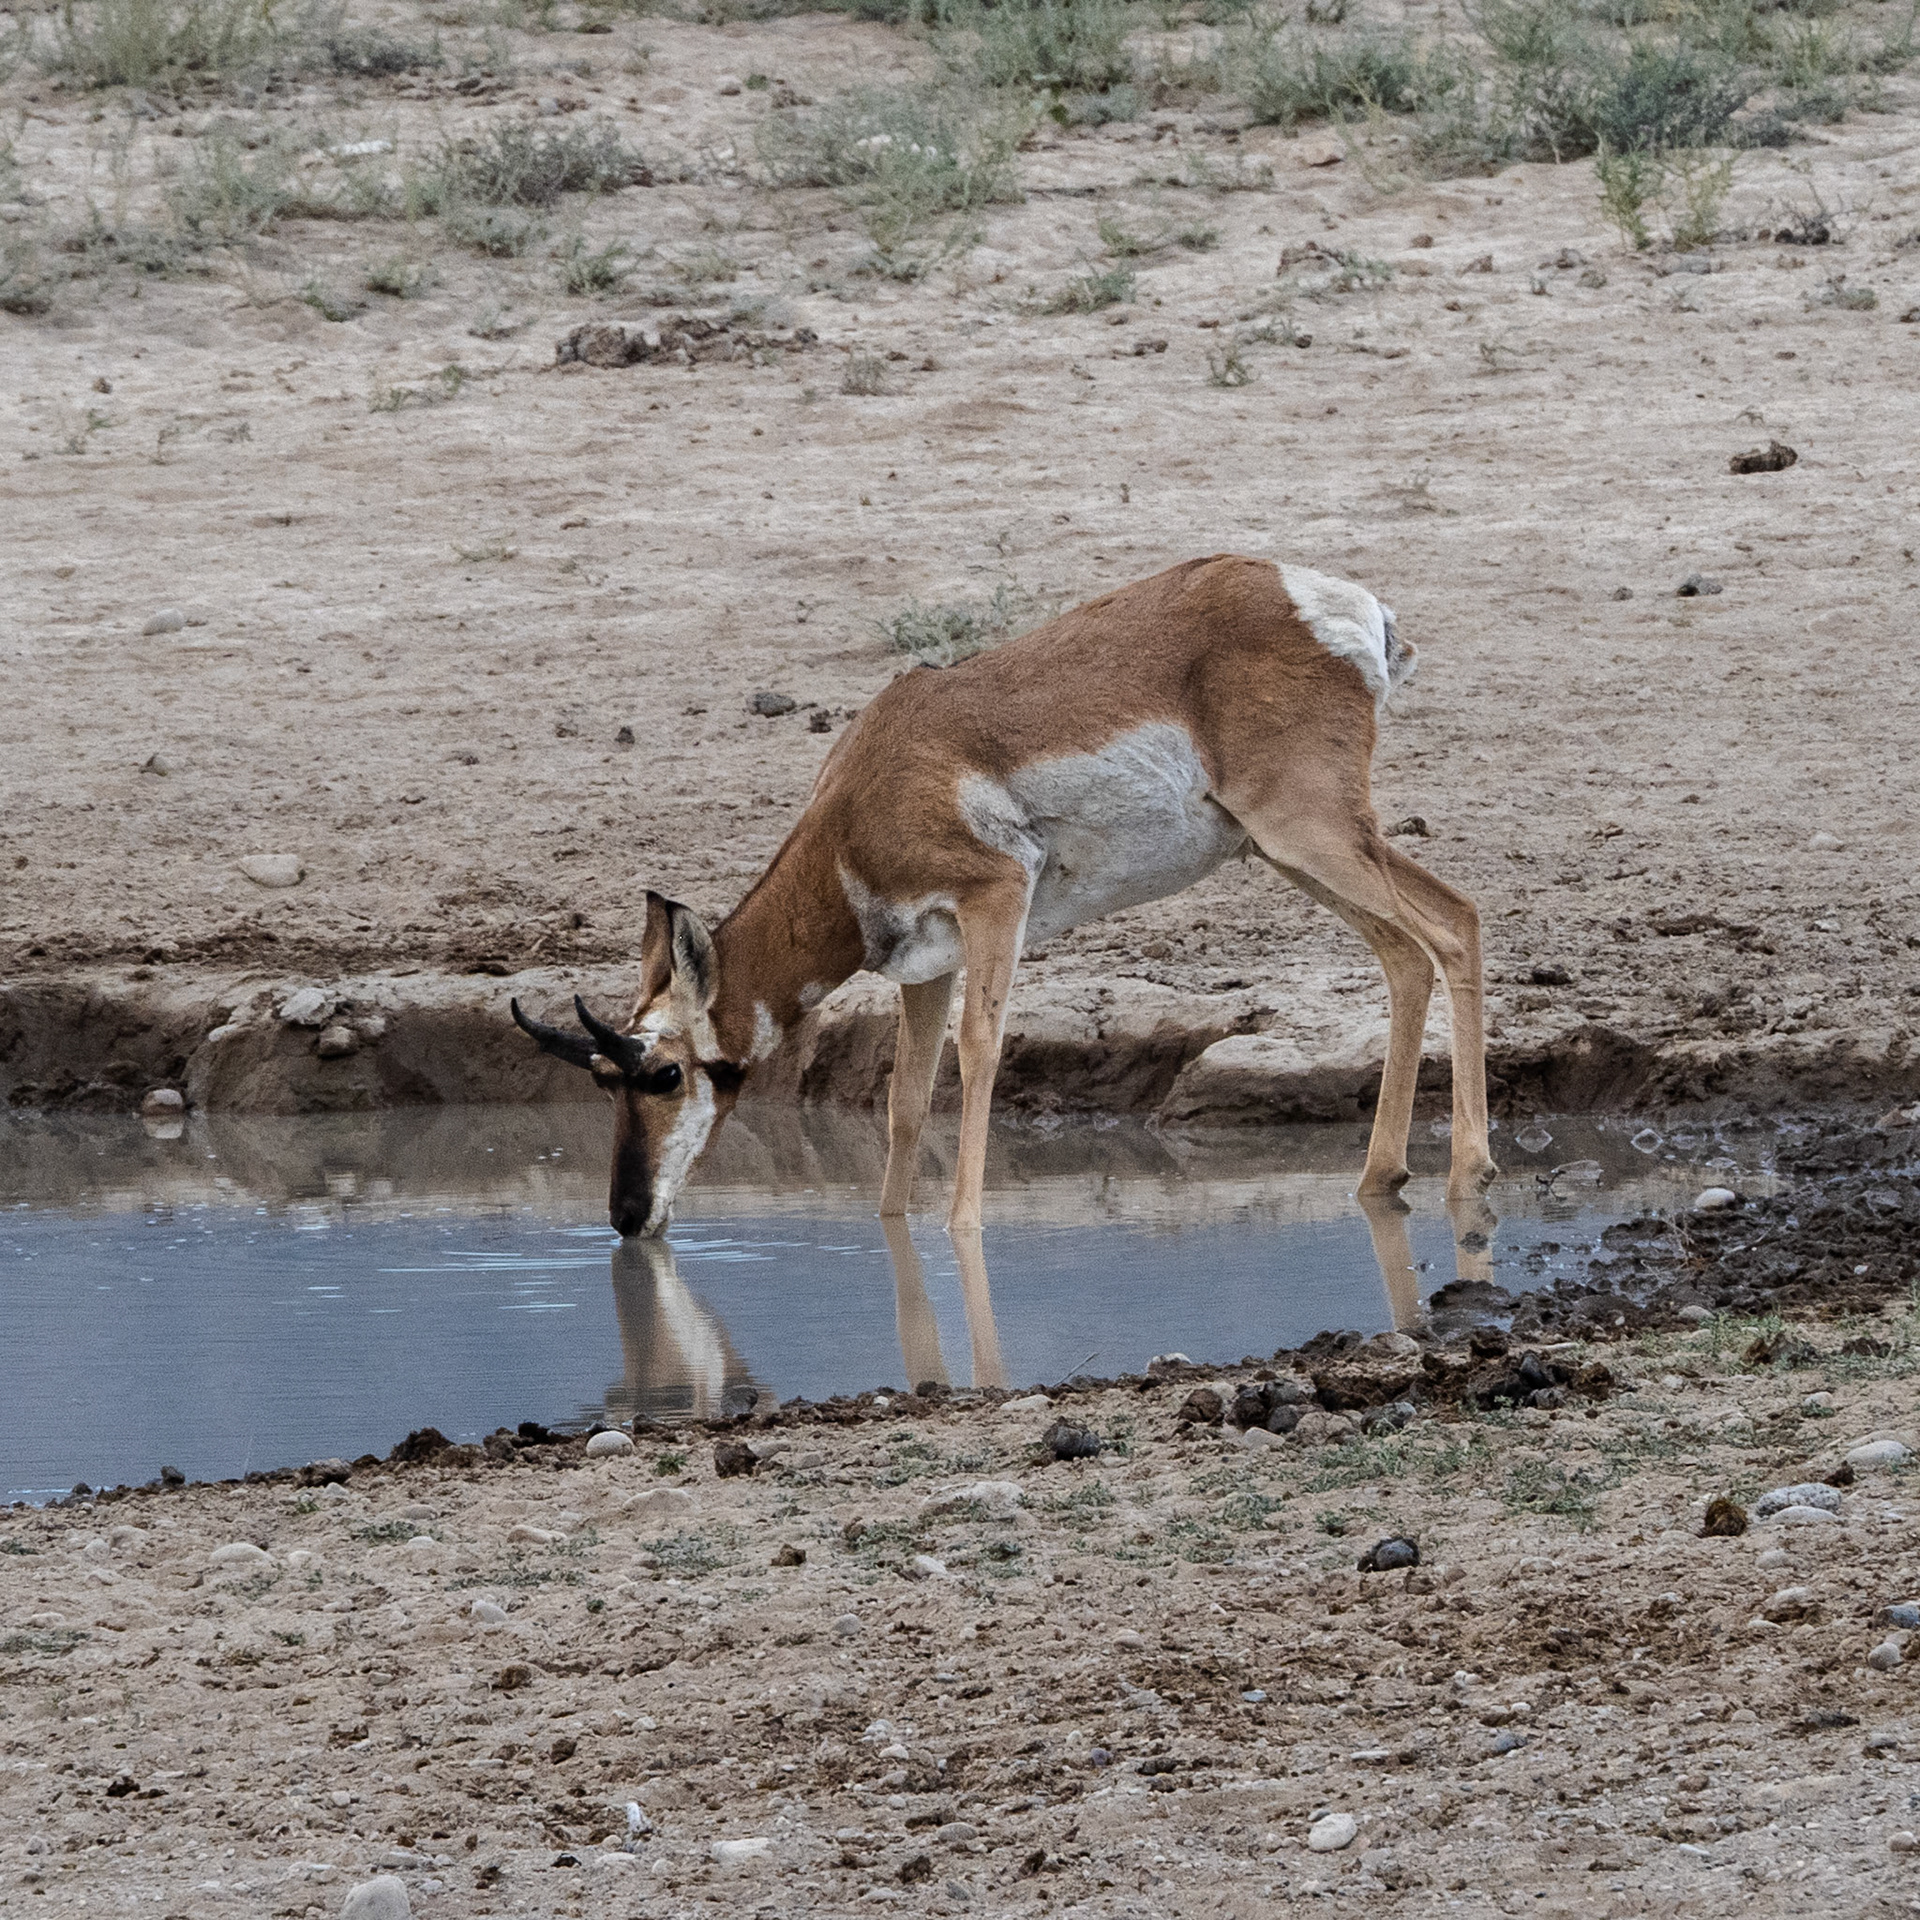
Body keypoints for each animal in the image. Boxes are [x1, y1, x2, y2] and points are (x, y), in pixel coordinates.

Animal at [510, 554, 1498, 1239]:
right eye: (601, 1077)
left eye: (665, 1073)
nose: (625, 1217)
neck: (861, 802)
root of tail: (1335, 601)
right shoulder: (923, 968)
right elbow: (906, 1101)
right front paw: (895, 1229)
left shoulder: (996, 902)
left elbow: (978, 1054)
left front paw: (963, 1229)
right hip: (1289, 850)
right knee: (1412, 948)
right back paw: (1381, 1181)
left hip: (1309, 833)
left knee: (1452, 926)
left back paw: (1469, 1176)